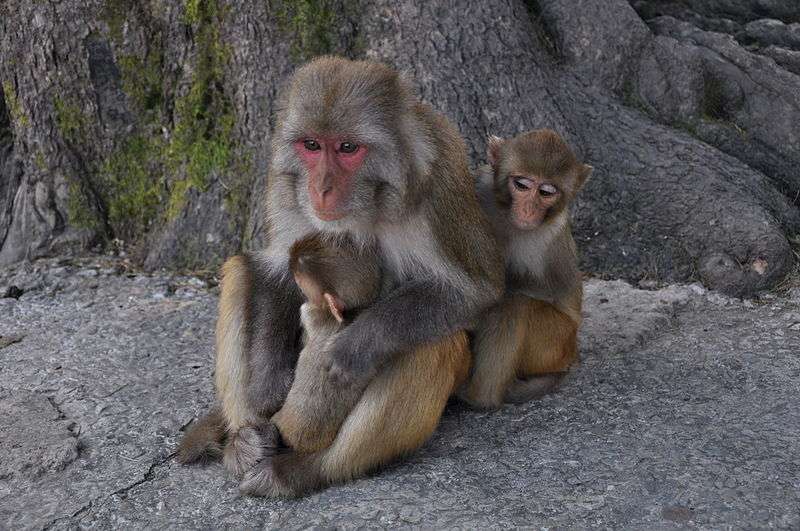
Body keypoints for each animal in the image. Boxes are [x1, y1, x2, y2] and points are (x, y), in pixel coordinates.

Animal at [177, 56, 504, 493]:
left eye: (348, 148)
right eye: (312, 145)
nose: (321, 188)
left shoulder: (436, 186)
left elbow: (473, 292)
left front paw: (353, 347)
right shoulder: (283, 184)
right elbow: (273, 271)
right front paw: (267, 384)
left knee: (433, 342)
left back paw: (305, 469)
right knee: (240, 269)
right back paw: (244, 440)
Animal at [459, 129, 592, 409]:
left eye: (546, 192)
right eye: (521, 185)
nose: (529, 210)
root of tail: (572, 353)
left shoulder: (550, 235)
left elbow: (549, 288)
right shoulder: (480, 187)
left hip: (555, 341)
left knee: (515, 305)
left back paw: (479, 396)